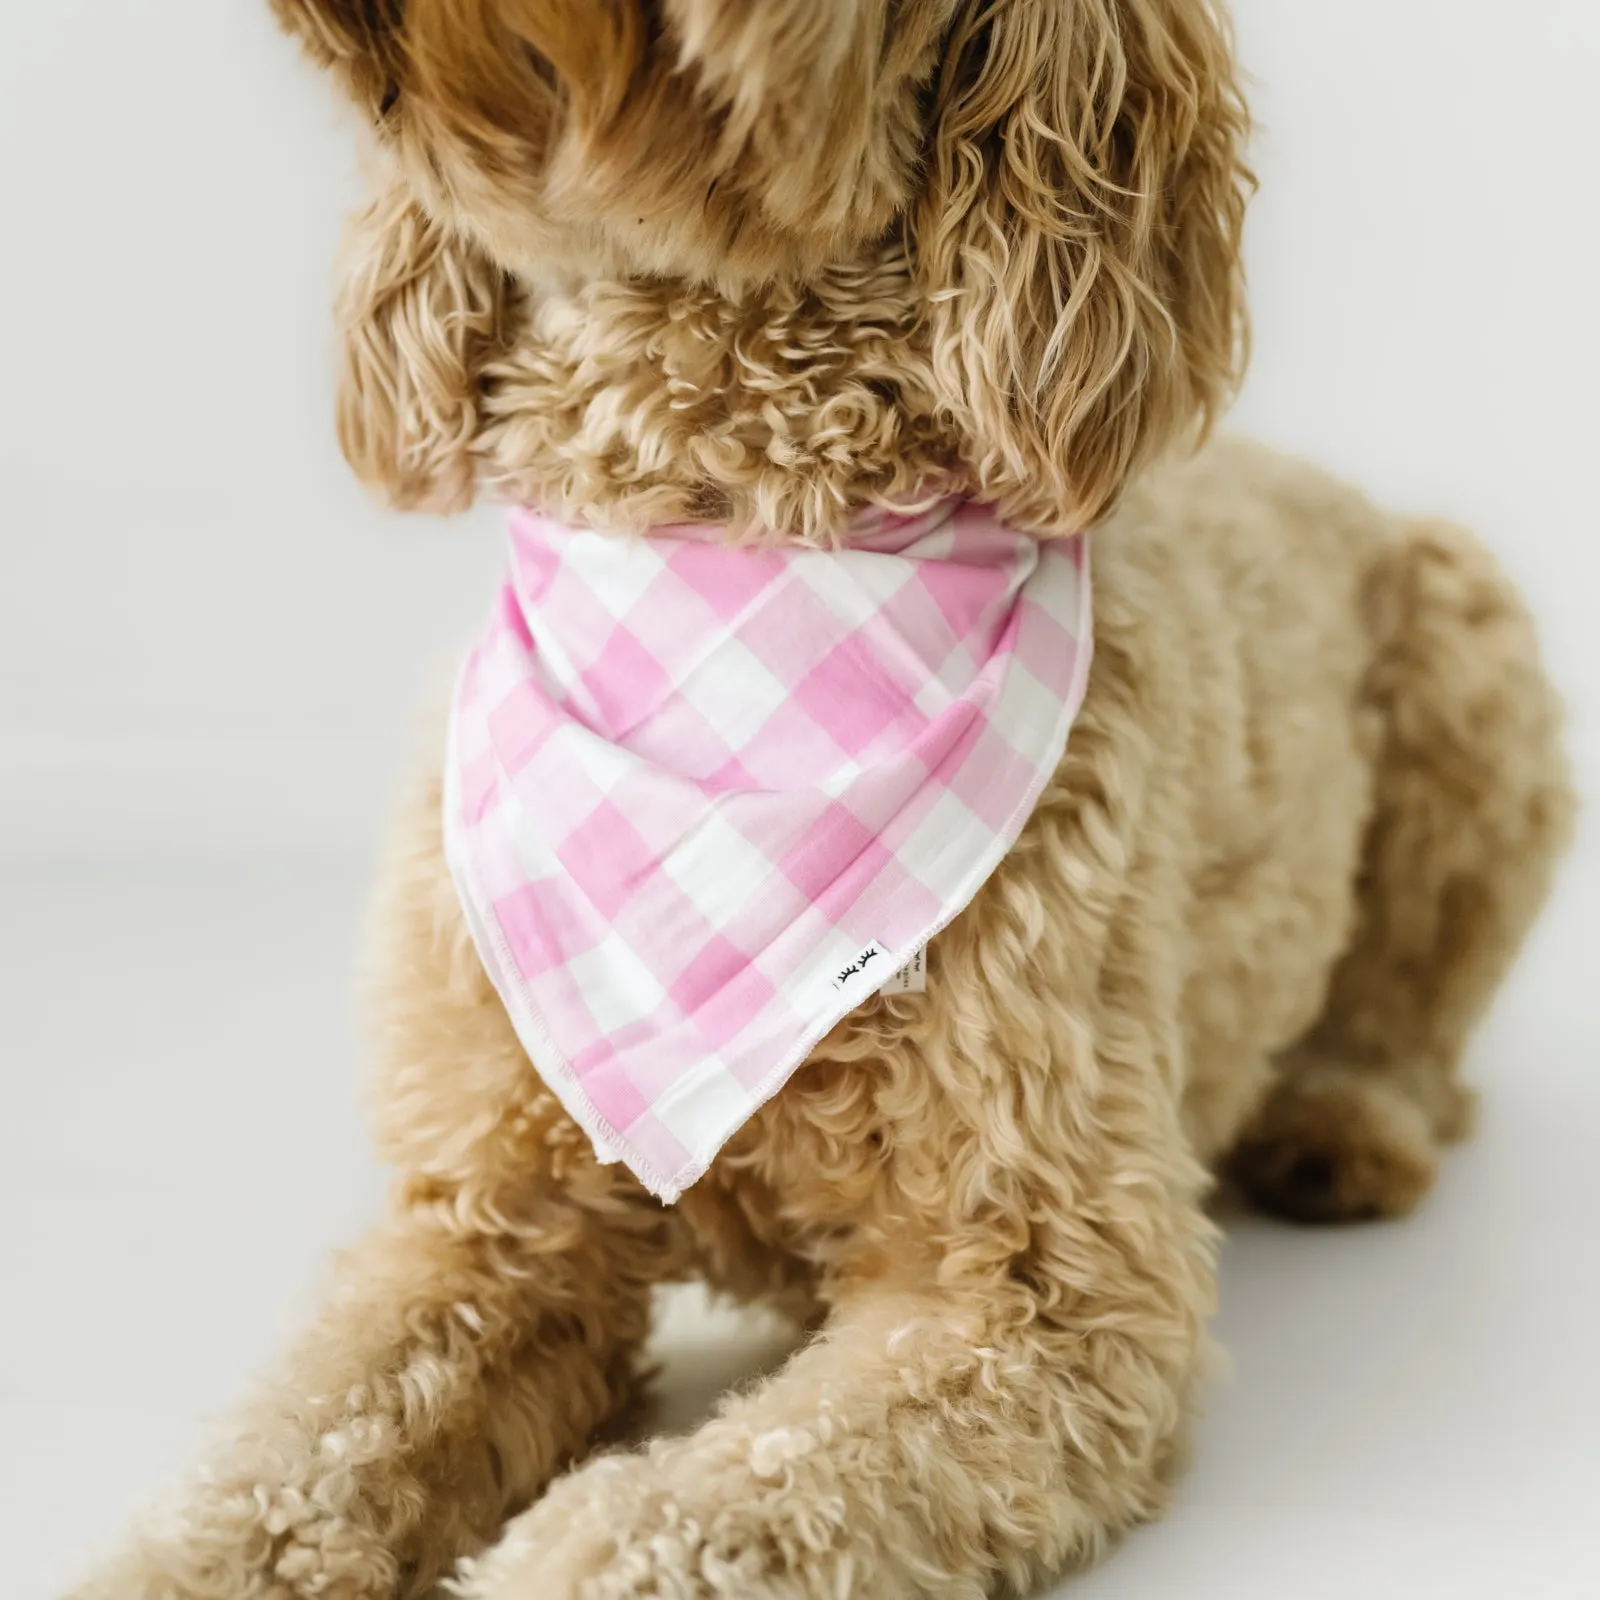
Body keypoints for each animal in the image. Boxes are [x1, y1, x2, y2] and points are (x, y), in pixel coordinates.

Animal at [72, 3, 1574, 1600]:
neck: (734, 557)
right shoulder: (487, 1224)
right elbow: (294, 1456)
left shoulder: (1043, 1293)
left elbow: (692, 1513)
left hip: (1470, 641)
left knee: (1416, 1014)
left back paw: (1345, 1120)